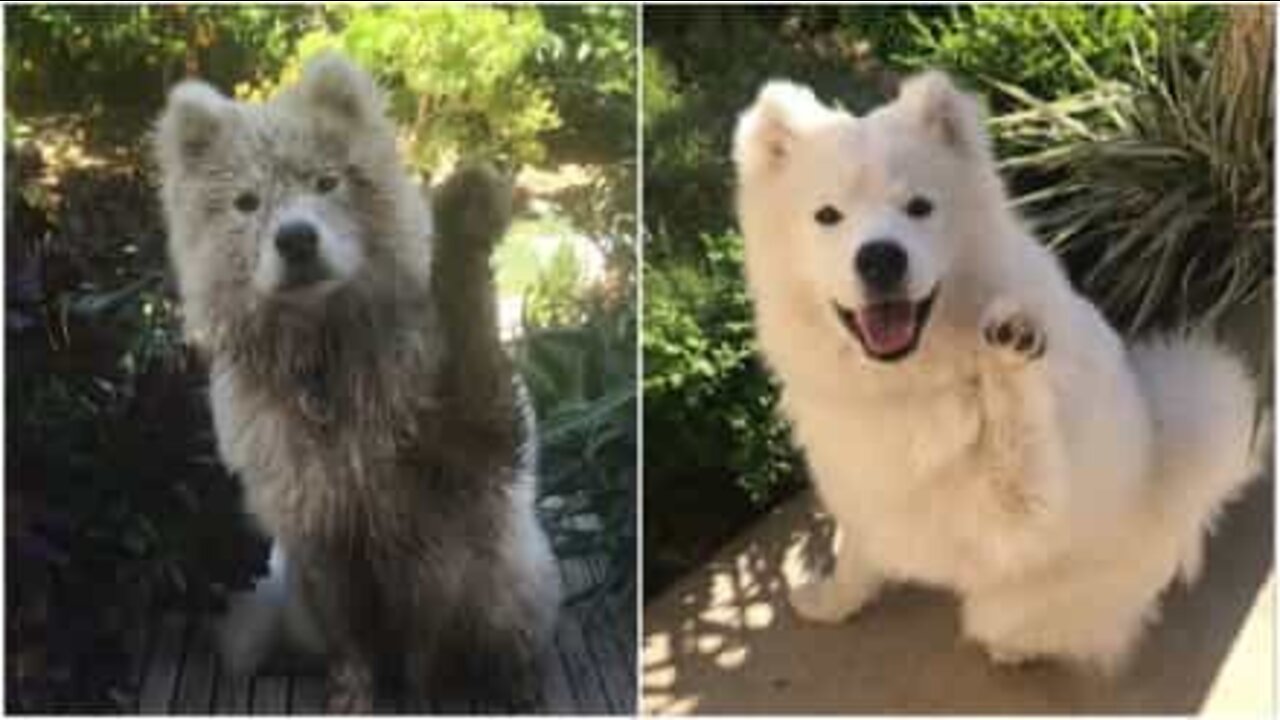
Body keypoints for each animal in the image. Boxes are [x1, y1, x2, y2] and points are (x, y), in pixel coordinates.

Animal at [732, 70, 1259, 671]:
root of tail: (1164, 498)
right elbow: (854, 559)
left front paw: (1009, 349)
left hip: (1003, 605)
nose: (880, 257)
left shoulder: (1016, 514)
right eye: (827, 216)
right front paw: (830, 602)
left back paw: (1011, 651)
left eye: (920, 207)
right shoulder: (860, 492)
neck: (905, 382)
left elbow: (1019, 428)